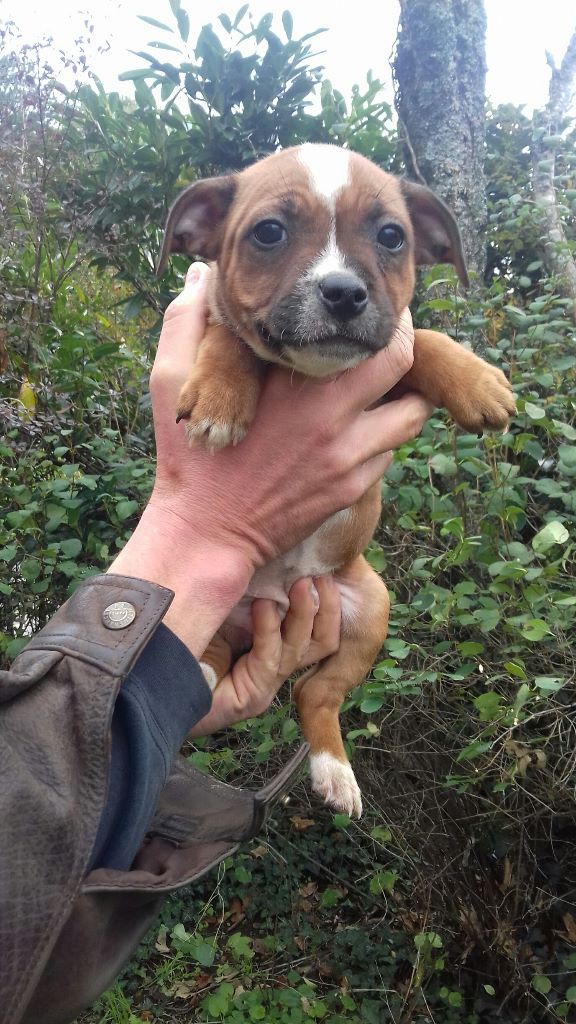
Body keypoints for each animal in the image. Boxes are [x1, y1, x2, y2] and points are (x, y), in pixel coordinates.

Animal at [157, 143, 516, 817]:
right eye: (269, 233)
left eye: (392, 237)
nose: (345, 292)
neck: (311, 376)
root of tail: (268, 603)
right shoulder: (217, 323)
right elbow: (230, 338)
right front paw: (220, 396)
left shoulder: (386, 372)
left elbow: (420, 338)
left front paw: (476, 381)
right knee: (212, 653)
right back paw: (201, 676)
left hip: (370, 607)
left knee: (313, 694)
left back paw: (332, 769)